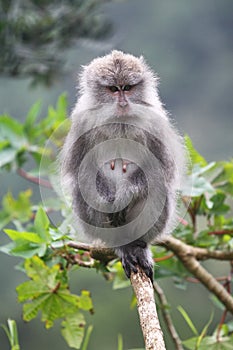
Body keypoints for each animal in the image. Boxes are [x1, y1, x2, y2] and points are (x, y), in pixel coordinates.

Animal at [60, 50, 186, 282]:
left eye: (127, 88)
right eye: (113, 89)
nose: (123, 103)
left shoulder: (156, 123)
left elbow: (162, 171)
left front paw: (125, 195)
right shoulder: (82, 123)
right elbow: (79, 172)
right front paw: (110, 199)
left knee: (159, 190)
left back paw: (139, 246)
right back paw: (122, 247)